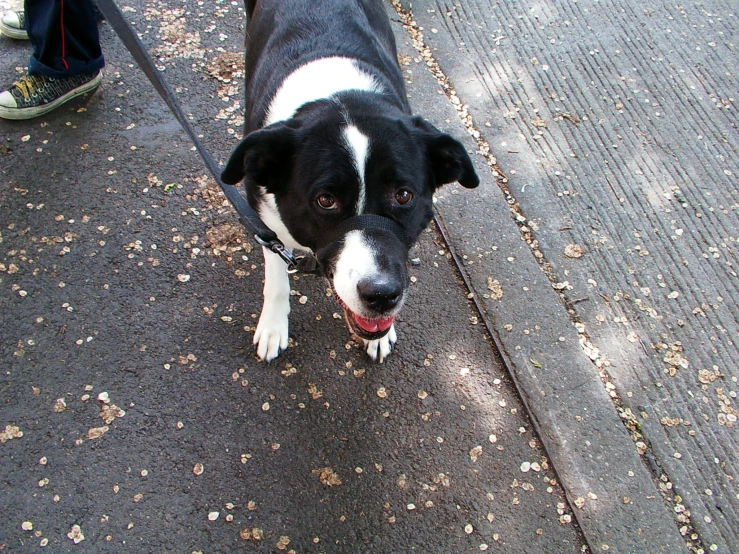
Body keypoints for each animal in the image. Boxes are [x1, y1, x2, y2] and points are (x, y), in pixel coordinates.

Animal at [223, 0, 480, 362]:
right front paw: (273, 325)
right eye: (325, 200)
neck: (338, 94)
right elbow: (276, 274)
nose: (382, 295)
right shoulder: (263, 218)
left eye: (404, 195)